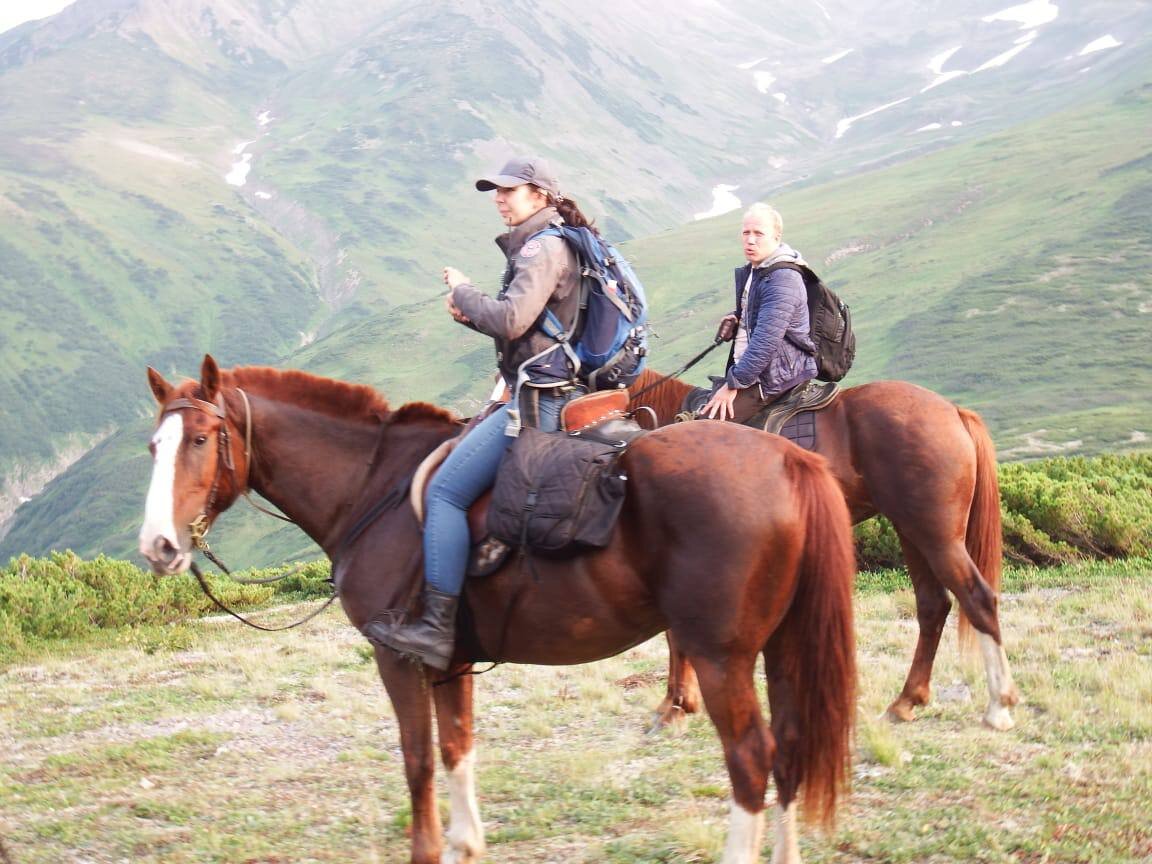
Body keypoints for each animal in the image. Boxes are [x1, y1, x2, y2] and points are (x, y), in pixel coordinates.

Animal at [137, 354, 857, 861]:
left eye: (200, 439)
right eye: (153, 447)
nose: (159, 546)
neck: (372, 487)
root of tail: (788, 458)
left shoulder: (397, 657)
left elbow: (418, 759)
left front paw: (429, 850)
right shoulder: (449, 661)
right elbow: (457, 747)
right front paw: (466, 844)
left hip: (719, 656)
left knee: (751, 760)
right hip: (780, 646)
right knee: (791, 752)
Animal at [635, 368, 1022, 732]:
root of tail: (954, 411)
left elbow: (676, 633)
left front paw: (675, 706)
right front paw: (676, 703)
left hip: (936, 535)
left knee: (977, 599)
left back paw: (998, 705)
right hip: (912, 532)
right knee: (933, 606)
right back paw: (906, 701)